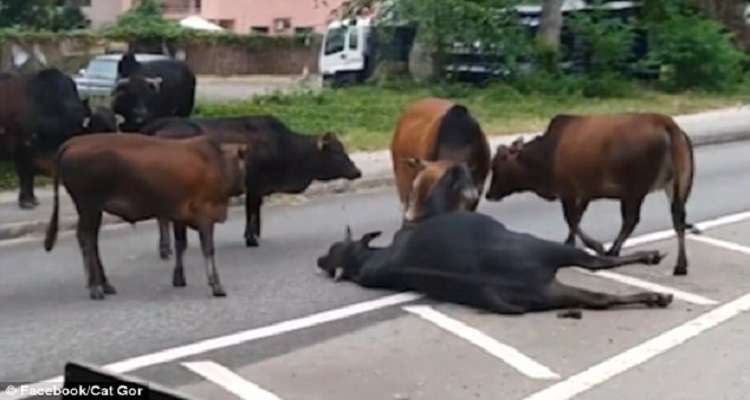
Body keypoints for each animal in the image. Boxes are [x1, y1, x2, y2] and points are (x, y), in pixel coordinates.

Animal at [43, 134, 247, 300]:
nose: (243, 188)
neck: (216, 162)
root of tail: (72, 142)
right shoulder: (205, 214)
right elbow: (208, 249)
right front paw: (216, 285)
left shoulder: (180, 215)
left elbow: (181, 245)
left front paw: (179, 278)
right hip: (88, 206)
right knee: (86, 239)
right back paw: (95, 288)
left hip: (94, 209)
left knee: (92, 240)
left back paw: (106, 285)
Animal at [141, 114, 364, 258]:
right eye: (336, 151)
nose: (357, 171)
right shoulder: (256, 185)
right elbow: (253, 210)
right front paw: (252, 238)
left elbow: (254, 210)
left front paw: (254, 235)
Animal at [318, 211, 676, 314]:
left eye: (335, 247)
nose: (319, 259)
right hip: (546, 252)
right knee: (598, 268)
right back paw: (655, 291)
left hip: (549, 291)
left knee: (598, 292)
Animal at [484, 111, 704, 276]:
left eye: (497, 164)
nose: (489, 194)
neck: (547, 153)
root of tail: (667, 123)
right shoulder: (585, 193)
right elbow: (576, 219)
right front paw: (569, 243)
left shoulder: (569, 191)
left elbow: (571, 220)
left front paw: (595, 246)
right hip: (676, 184)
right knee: (678, 218)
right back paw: (680, 265)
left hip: (634, 189)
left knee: (631, 220)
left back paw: (613, 250)